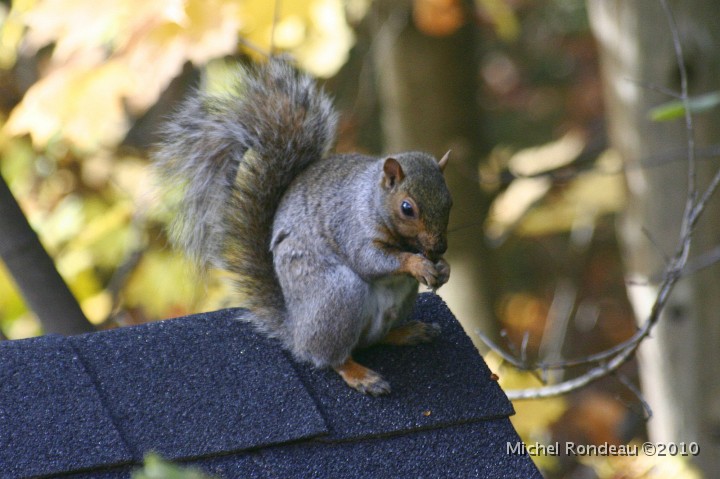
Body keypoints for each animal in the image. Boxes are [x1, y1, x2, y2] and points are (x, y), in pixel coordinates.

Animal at [155, 59, 452, 398]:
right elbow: (370, 259)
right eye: (407, 208)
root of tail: (296, 331)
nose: (439, 248)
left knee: (372, 340)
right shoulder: (352, 226)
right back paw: (360, 374)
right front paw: (417, 264)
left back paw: (409, 332)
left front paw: (443, 268)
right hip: (338, 295)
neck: (371, 197)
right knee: (332, 357)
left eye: (450, 201)